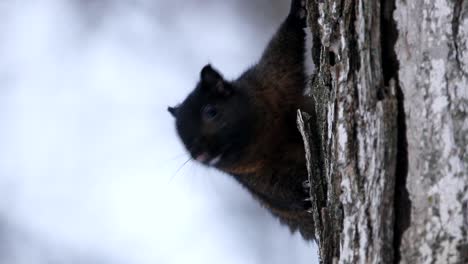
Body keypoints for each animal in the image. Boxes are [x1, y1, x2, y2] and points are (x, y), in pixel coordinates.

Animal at [167, 0, 314, 239]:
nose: (199, 155)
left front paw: (296, 13)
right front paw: (305, 191)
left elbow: (283, 50)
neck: (263, 137)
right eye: (180, 136)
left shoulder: (271, 80)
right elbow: (280, 194)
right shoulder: (255, 178)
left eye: (211, 111)